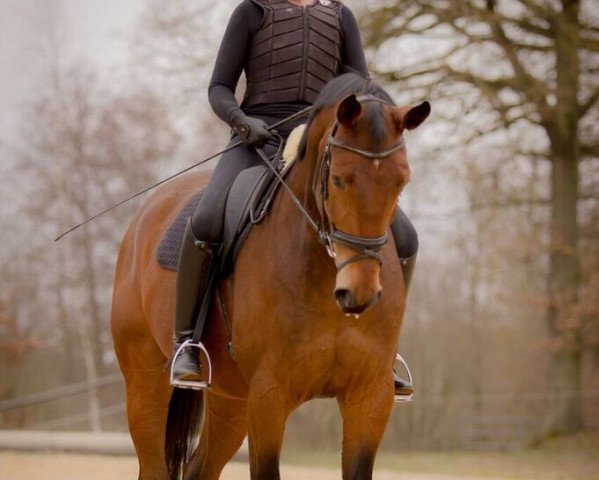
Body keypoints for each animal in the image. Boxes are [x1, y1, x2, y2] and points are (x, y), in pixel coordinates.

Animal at [111, 72, 432, 480]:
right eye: (339, 179)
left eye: (401, 182)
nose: (358, 292)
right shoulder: (269, 396)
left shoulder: (370, 396)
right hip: (145, 385)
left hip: (230, 400)